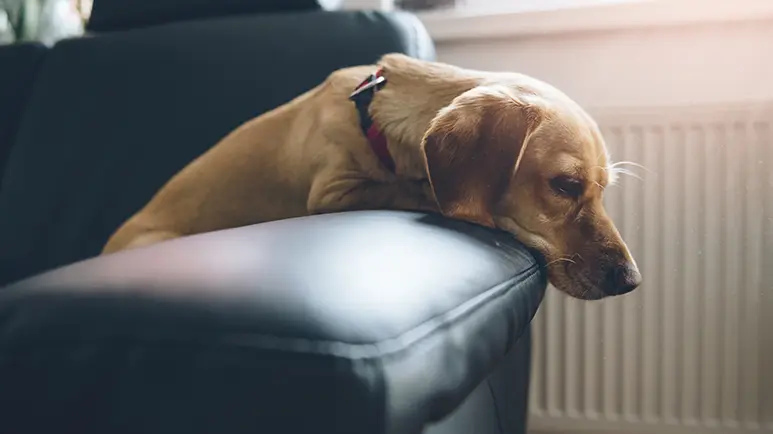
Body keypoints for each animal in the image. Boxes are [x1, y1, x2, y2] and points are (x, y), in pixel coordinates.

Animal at [104, 52, 644, 300]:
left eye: (602, 190)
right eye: (565, 186)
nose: (632, 280)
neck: (374, 115)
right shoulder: (333, 192)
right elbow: (410, 187)